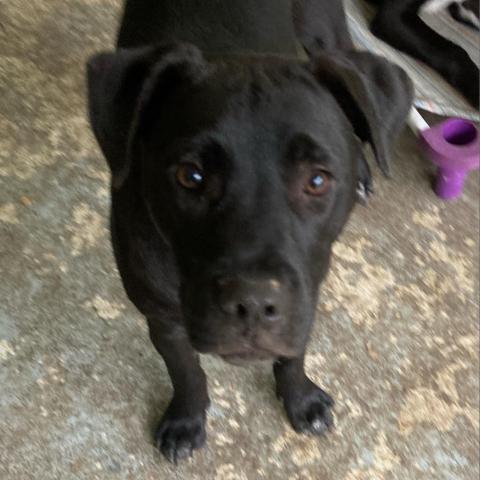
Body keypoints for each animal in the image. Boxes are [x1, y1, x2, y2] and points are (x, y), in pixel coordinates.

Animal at [87, 0, 412, 464]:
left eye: (317, 180)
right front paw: (187, 420)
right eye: (191, 175)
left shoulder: (305, 295)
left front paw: (300, 398)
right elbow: (185, 370)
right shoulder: (162, 316)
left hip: (330, 36)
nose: (254, 303)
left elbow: (293, 354)